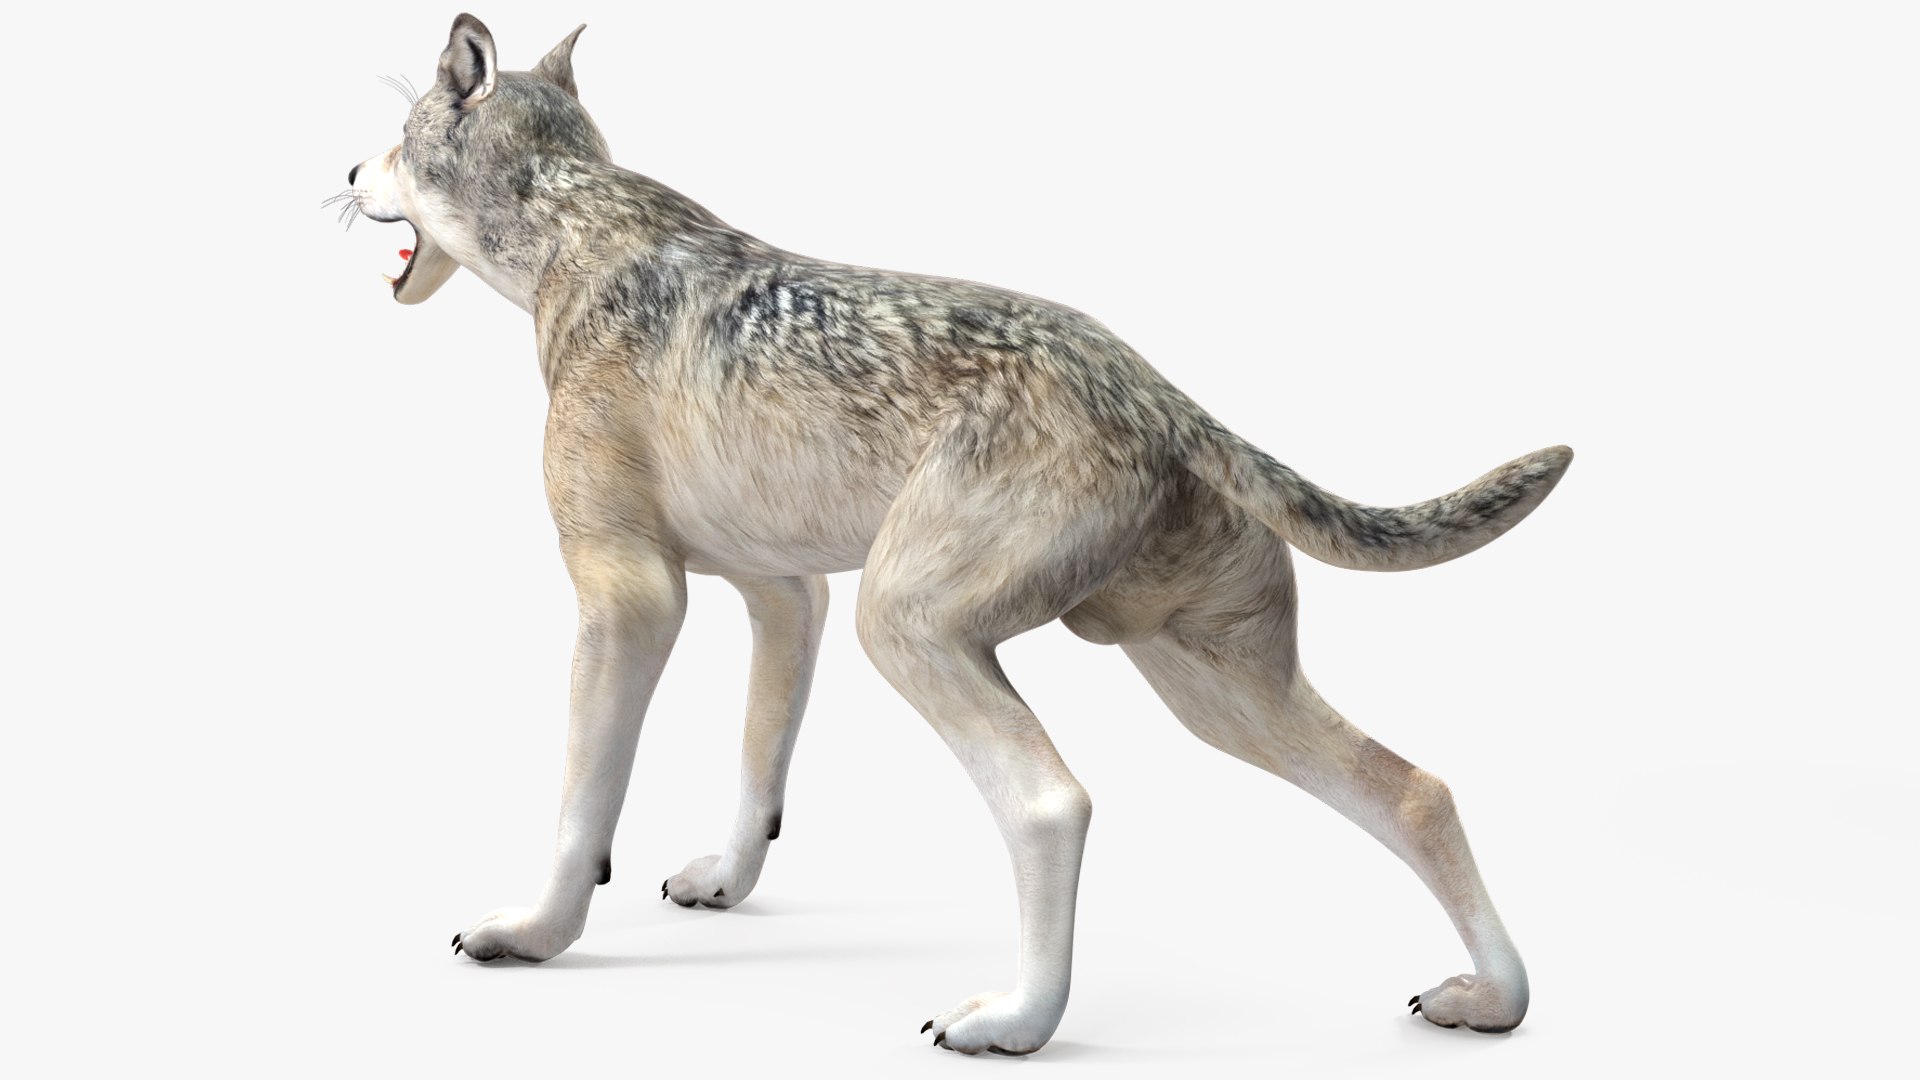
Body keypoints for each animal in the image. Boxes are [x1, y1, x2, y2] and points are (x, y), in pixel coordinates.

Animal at [342, 14, 1570, 1055]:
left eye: (395, 142)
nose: (350, 176)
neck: (572, 225)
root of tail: (1160, 397)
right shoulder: (786, 597)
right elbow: (757, 767)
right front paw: (727, 883)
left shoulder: (629, 597)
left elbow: (578, 802)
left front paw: (531, 933)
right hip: (1212, 687)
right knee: (1417, 791)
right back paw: (1492, 1000)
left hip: (914, 628)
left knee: (1053, 804)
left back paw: (1015, 1021)